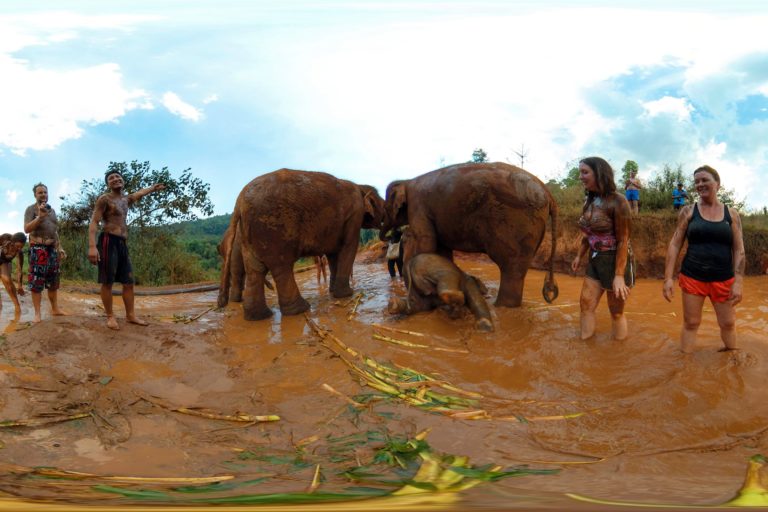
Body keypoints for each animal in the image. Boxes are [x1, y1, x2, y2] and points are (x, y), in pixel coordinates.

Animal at [218, 169, 386, 320]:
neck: (360, 186)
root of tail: (239, 203)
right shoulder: (354, 215)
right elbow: (348, 247)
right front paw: (346, 295)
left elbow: (333, 254)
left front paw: (333, 292)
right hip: (274, 230)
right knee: (281, 267)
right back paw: (300, 310)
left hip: (249, 235)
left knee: (255, 270)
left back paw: (259, 317)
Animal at [380, 162, 558, 307]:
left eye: (386, 207)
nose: (391, 236)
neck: (407, 180)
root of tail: (549, 194)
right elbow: (442, 250)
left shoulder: (418, 206)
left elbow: (426, 241)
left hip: (518, 223)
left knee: (511, 266)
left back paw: (500, 307)